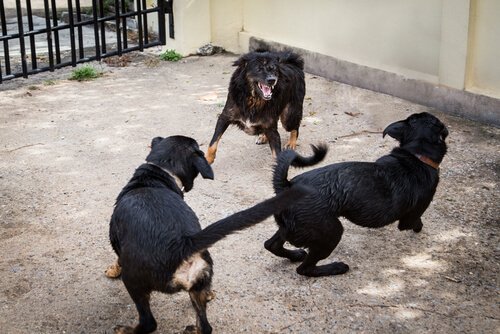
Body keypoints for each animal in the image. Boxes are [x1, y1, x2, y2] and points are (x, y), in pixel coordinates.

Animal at [105, 134, 308, 332]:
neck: (159, 173)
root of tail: (183, 244)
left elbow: (117, 259)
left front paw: (112, 270)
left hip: (133, 282)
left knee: (149, 323)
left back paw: (125, 329)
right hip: (197, 285)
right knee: (205, 327)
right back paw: (194, 328)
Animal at [266, 112, 450, 276]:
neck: (417, 154)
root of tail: (286, 185)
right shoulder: (410, 217)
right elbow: (417, 222)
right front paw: (419, 228)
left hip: (290, 227)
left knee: (271, 245)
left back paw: (295, 254)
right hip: (331, 231)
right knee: (305, 269)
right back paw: (336, 268)